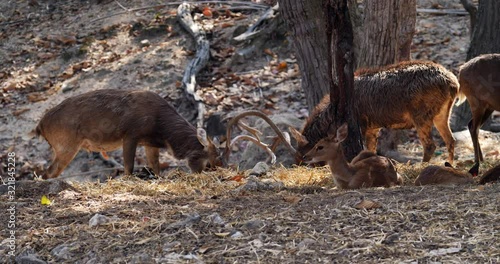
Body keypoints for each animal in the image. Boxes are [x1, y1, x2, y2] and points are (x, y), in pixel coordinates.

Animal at [36, 89, 220, 179]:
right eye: (209, 162)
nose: (216, 170)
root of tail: (40, 126)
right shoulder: (131, 134)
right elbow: (128, 167)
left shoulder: (149, 143)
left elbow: (155, 166)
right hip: (66, 144)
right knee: (48, 173)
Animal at [290, 60, 460, 164]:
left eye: (302, 152)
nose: (299, 162)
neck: (334, 114)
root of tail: (454, 84)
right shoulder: (373, 126)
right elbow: (371, 149)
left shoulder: (361, 123)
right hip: (443, 114)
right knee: (450, 140)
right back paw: (449, 164)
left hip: (421, 115)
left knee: (430, 145)